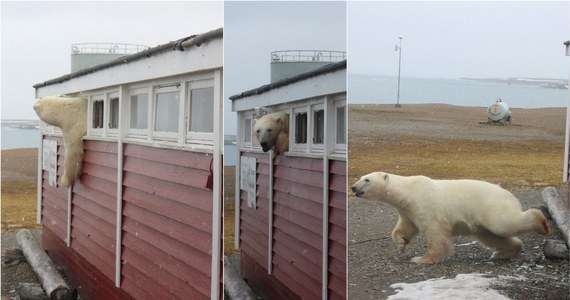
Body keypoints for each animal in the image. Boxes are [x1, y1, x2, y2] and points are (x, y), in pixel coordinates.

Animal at [348, 172, 548, 264]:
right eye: (361, 177)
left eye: (366, 179)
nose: (353, 187)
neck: (407, 191)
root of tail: (508, 193)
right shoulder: (408, 209)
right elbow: (406, 227)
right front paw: (401, 244)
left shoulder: (426, 203)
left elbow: (435, 231)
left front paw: (422, 259)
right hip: (480, 223)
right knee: (491, 236)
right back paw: (505, 252)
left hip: (490, 206)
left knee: (503, 224)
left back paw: (542, 222)